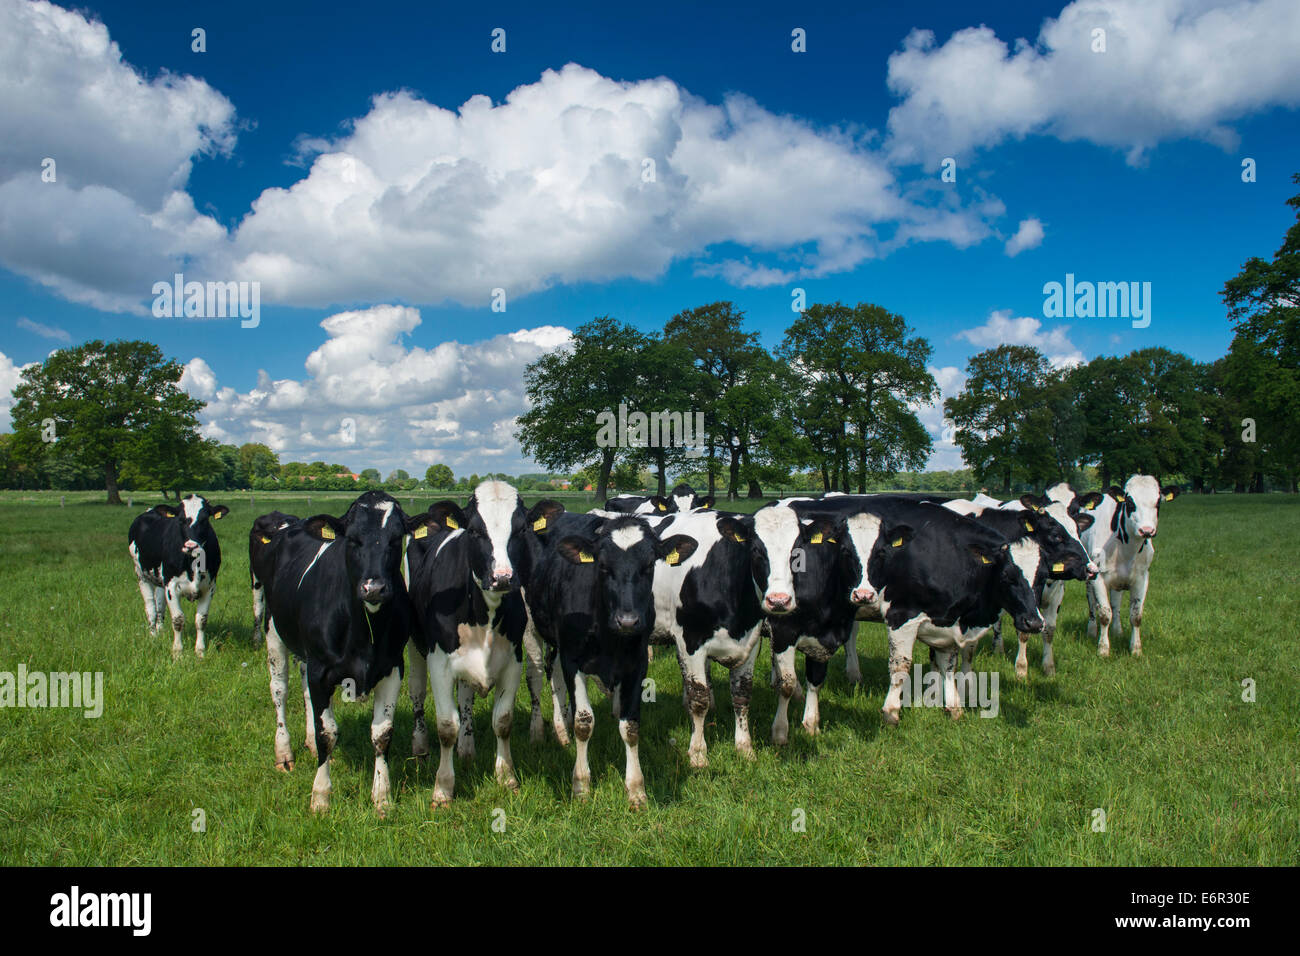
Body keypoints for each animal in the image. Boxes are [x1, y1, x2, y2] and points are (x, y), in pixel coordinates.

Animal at [126, 494, 228, 658]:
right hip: (141, 575)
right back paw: (153, 636)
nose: (191, 546)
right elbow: (178, 620)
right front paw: (178, 652)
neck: (193, 563)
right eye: (180, 520)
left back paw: (160, 631)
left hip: (160, 581)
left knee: (160, 605)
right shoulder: (171, 586)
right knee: (150, 607)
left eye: (205, 519)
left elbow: (201, 620)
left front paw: (200, 651)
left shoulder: (210, 587)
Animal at [256, 494, 413, 816]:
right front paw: (321, 797)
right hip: (273, 629)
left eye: (395, 539)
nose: (374, 588)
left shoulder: (393, 666)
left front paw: (382, 796)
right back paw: (284, 753)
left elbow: (382, 733)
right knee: (279, 691)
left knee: (305, 694)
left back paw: (308, 745)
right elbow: (327, 732)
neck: (365, 631)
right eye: (351, 539)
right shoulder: (321, 670)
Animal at [403, 486, 561, 806]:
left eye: (521, 529)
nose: (502, 577)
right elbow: (446, 726)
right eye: (475, 530)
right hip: (416, 646)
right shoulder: (439, 663)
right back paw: (421, 747)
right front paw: (443, 788)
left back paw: (467, 749)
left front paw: (506, 777)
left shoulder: (512, 660)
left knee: (465, 698)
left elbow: (502, 720)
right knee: (416, 691)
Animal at [522, 515, 696, 806]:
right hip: (530, 626)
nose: (627, 621)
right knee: (537, 676)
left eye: (649, 565)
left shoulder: (637, 663)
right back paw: (541, 732)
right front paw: (581, 785)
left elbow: (631, 726)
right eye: (602, 566)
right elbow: (583, 722)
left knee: (553, 674)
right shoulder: (572, 660)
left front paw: (636, 789)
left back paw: (562, 728)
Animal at [1076, 470, 1180, 658]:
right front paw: (1103, 649)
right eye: (1130, 502)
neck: (1125, 549)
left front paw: (1136, 649)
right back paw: (1092, 631)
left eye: (1157, 502)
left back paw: (1117, 631)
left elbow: (1136, 616)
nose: (1147, 530)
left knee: (1116, 603)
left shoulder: (1142, 577)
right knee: (1092, 603)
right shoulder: (1098, 577)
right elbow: (1104, 613)